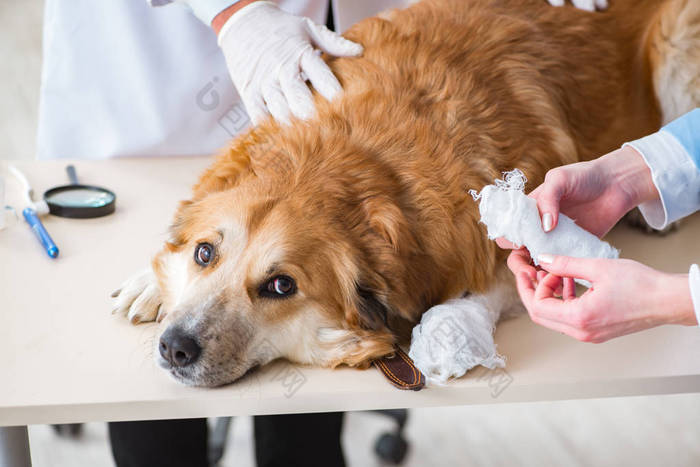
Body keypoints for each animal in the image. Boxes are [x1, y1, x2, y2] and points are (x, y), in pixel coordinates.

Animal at [113, 0, 700, 388]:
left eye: (281, 286)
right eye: (204, 253)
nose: (176, 346)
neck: (349, 159)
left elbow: (489, 287)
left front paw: (449, 330)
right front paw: (151, 281)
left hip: (678, 47)